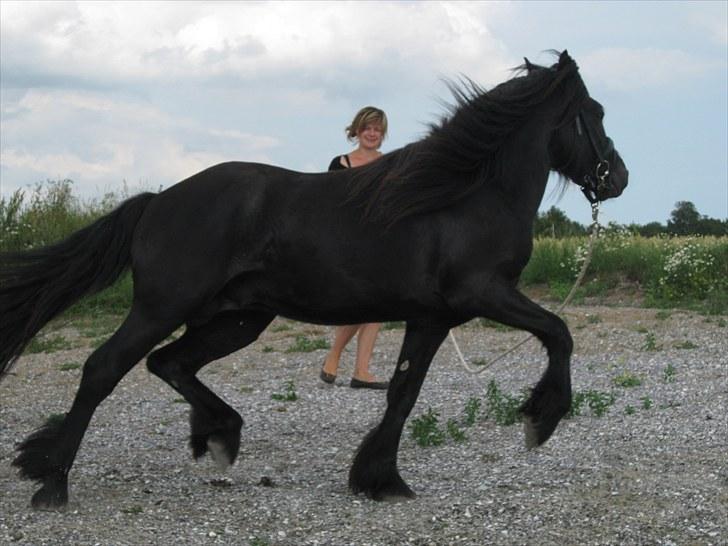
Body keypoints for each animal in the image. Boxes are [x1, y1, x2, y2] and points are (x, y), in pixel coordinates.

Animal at [0, 50, 627, 510]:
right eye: (595, 112)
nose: (617, 178)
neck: (465, 195)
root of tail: (158, 200)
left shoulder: (430, 318)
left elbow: (402, 394)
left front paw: (379, 479)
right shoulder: (484, 294)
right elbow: (560, 332)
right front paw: (540, 419)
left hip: (239, 319)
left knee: (170, 363)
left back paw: (219, 434)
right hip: (163, 307)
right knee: (103, 369)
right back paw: (53, 484)